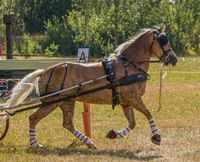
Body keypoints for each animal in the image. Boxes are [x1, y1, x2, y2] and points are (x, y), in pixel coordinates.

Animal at [3, 26, 178, 149]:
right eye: (163, 40)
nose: (174, 59)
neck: (130, 65)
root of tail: (44, 72)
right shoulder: (133, 98)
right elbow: (148, 114)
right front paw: (157, 137)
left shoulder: (126, 102)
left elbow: (133, 123)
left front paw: (113, 134)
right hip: (53, 101)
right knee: (33, 118)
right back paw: (35, 144)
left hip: (67, 101)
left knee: (67, 124)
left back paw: (89, 142)